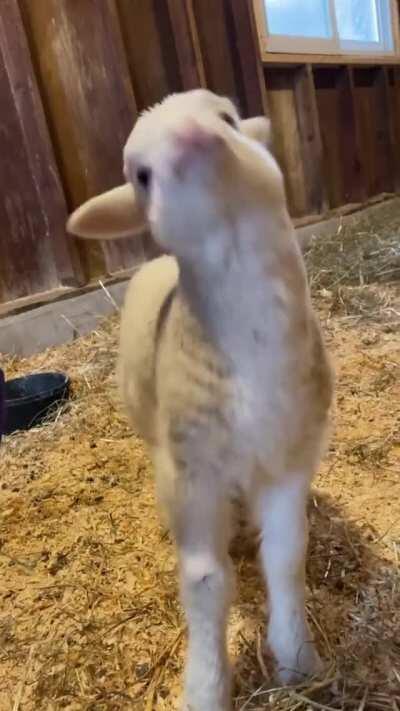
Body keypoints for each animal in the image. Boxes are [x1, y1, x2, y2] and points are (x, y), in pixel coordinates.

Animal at [67, 89, 334, 711]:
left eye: (228, 118)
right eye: (140, 175)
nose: (193, 136)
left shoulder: (289, 455)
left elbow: (286, 555)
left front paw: (296, 659)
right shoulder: (192, 471)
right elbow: (206, 581)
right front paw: (207, 686)